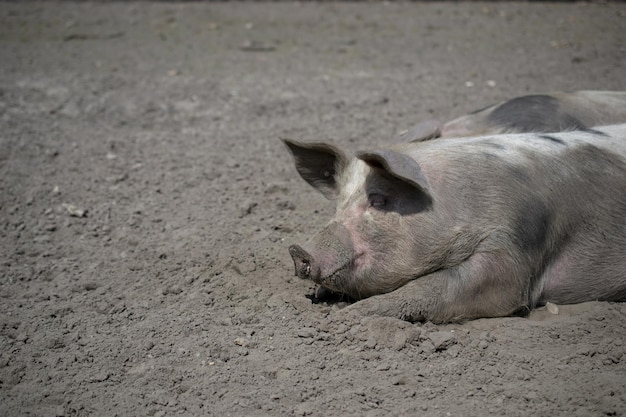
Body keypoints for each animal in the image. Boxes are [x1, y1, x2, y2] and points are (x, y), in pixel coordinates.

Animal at [282, 123, 624, 322]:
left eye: (378, 200)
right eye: (338, 202)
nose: (299, 251)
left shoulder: (516, 248)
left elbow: (439, 286)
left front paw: (349, 316)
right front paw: (323, 299)